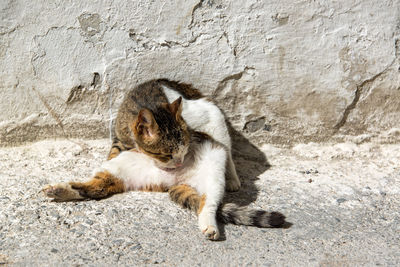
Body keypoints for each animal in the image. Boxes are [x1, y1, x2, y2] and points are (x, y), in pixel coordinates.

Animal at [43, 79, 286, 241]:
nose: (178, 163)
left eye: (184, 150)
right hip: (122, 169)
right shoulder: (121, 140)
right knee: (96, 187)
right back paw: (59, 190)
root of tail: (175, 181)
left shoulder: (207, 116)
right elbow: (113, 151)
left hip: (214, 172)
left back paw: (216, 213)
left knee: (210, 199)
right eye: (166, 154)